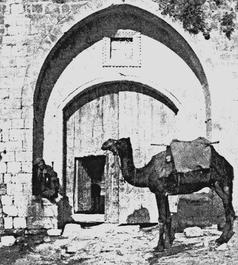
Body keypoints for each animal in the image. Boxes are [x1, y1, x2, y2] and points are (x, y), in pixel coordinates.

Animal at [101, 137, 235, 251]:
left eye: (117, 142)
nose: (104, 144)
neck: (146, 173)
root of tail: (228, 165)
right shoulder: (165, 193)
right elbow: (168, 217)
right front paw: (169, 242)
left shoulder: (159, 192)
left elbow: (161, 219)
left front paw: (160, 246)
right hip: (216, 184)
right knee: (229, 207)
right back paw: (221, 238)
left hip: (222, 181)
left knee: (228, 208)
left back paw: (222, 239)